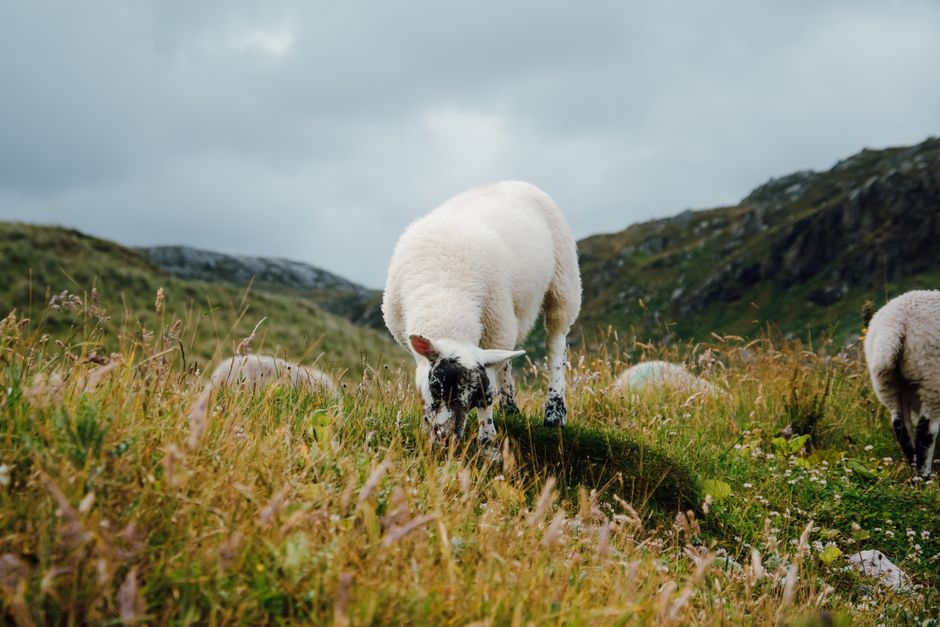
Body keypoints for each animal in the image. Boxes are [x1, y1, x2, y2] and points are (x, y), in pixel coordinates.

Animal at [382, 181, 582, 447]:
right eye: (436, 387)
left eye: (475, 398)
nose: (448, 441)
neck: (446, 296)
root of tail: (516, 182)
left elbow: (488, 397)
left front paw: (488, 440)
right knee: (506, 360)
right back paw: (510, 408)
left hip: (563, 282)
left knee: (556, 343)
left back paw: (554, 412)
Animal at [864, 290, 940, 479]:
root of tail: (895, 322)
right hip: (932, 376)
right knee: (925, 430)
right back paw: (924, 475)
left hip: (886, 383)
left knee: (900, 426)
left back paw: (913, 469)